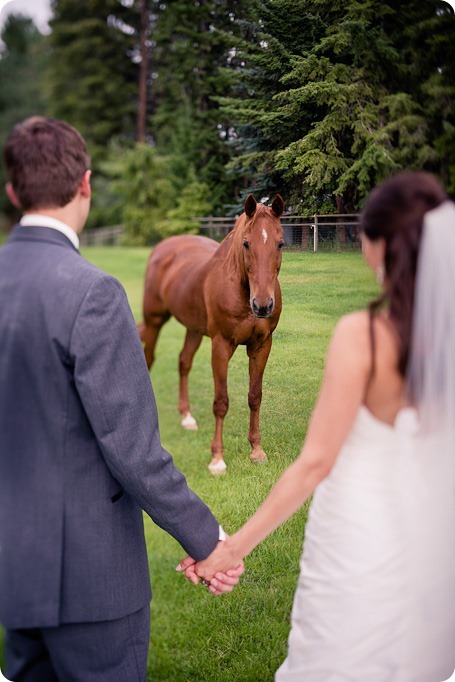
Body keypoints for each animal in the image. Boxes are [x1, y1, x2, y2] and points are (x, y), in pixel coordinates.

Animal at [137, 194, 284, 470]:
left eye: (280, 243)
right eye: (246, 244)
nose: (262, 305)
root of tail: (163, 248)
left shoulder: (262, 345)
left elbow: (255, 396)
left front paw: (257, 450)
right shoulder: (221, 345)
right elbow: (221, 401)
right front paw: (217, 459)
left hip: (193, 329)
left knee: (183, 362)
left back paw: (187, 417)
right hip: (154, 321)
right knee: (148, 358)